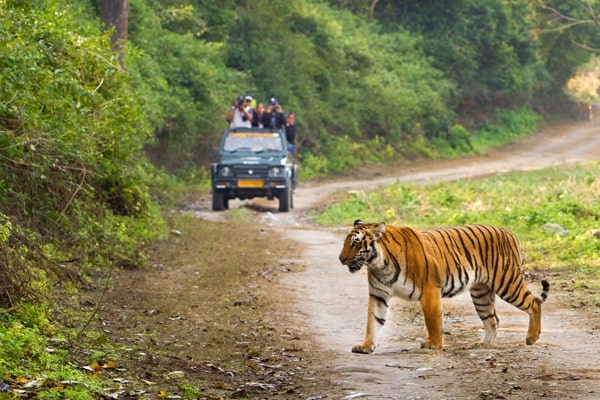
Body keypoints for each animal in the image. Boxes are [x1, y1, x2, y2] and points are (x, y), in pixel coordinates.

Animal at [338, 219, 548, 354]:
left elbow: (432, 320)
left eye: (356, 243)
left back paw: (531, 337)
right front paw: (365, 346)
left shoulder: (430, 290)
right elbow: (373, 321)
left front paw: (434, 344)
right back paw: (482, 345)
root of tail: (509, 232)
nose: (341, 259)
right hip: (481, 293)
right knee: (493, 319)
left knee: (534, 302)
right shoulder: (379, 295)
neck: (379, 264)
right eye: (345, 243)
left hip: (507, 282)